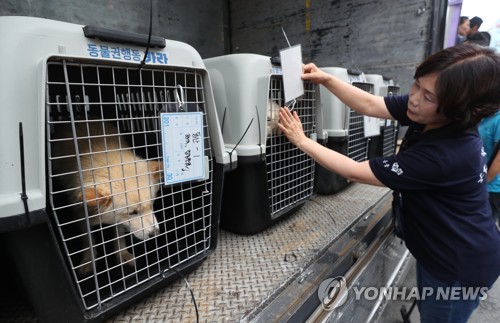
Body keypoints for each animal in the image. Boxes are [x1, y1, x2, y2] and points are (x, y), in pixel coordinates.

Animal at [50, 121, 161, 276]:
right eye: (132, 213)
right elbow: (87, 239)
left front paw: (122, 253)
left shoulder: (118, 219)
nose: (155, 233)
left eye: (151, 205)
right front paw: (88, 259)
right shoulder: (80, 211)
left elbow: (119, 234)